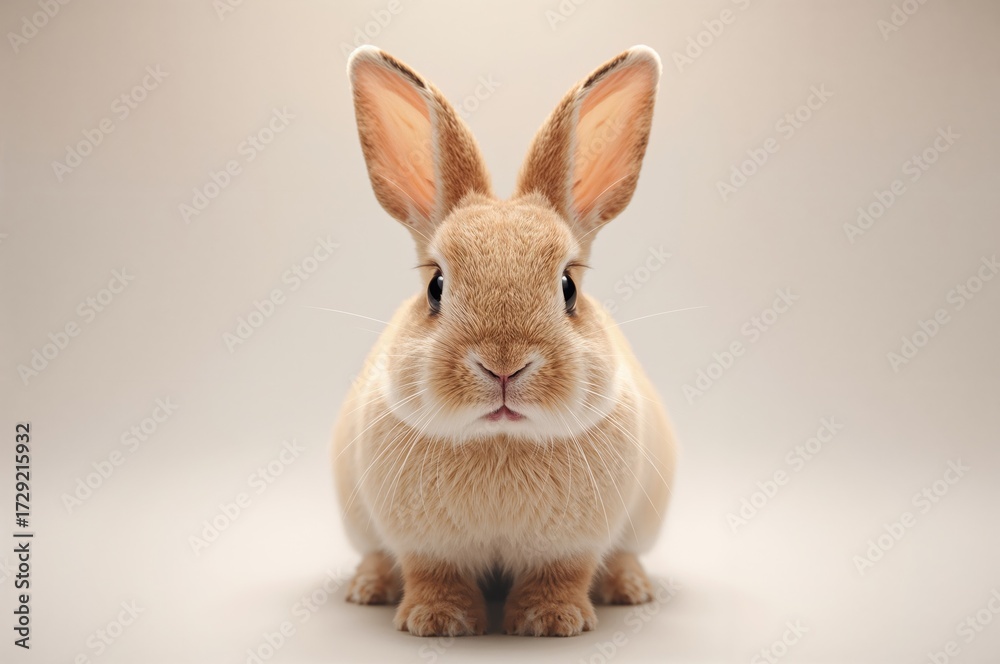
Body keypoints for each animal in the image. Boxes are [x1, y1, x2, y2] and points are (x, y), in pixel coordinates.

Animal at [332, 44, 677, 638]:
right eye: (435, 286)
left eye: (568, 287)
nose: (503, 366)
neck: (499, 440)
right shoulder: (426, 548)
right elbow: (433, 575)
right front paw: (435, 621)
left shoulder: (570, 548)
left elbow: (559, 575)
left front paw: (553, 621)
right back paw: (368, 587)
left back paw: (630, 588)